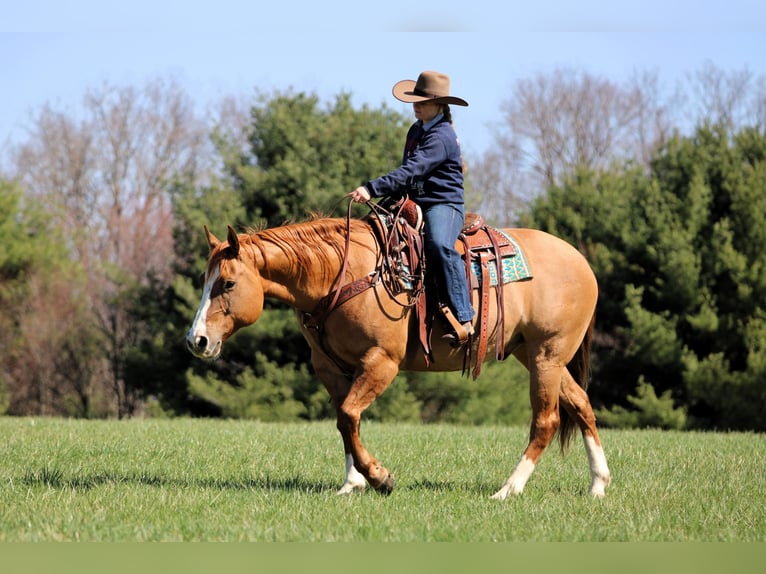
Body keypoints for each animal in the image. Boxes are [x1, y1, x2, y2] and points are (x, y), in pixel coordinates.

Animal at [185, 211, 611, 499]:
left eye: (227, 283)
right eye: (205, 281)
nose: (197, 340)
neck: (342, 275)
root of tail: (581, 261)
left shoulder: (381, 363)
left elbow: (349, 415)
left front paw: (379, 478)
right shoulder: (330, 368)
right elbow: (345, 423)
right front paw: (351, 483)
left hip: (546, 356)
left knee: (546, 421)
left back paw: (508, 489)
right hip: (539, 356)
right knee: (581, 405)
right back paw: (598, 484)